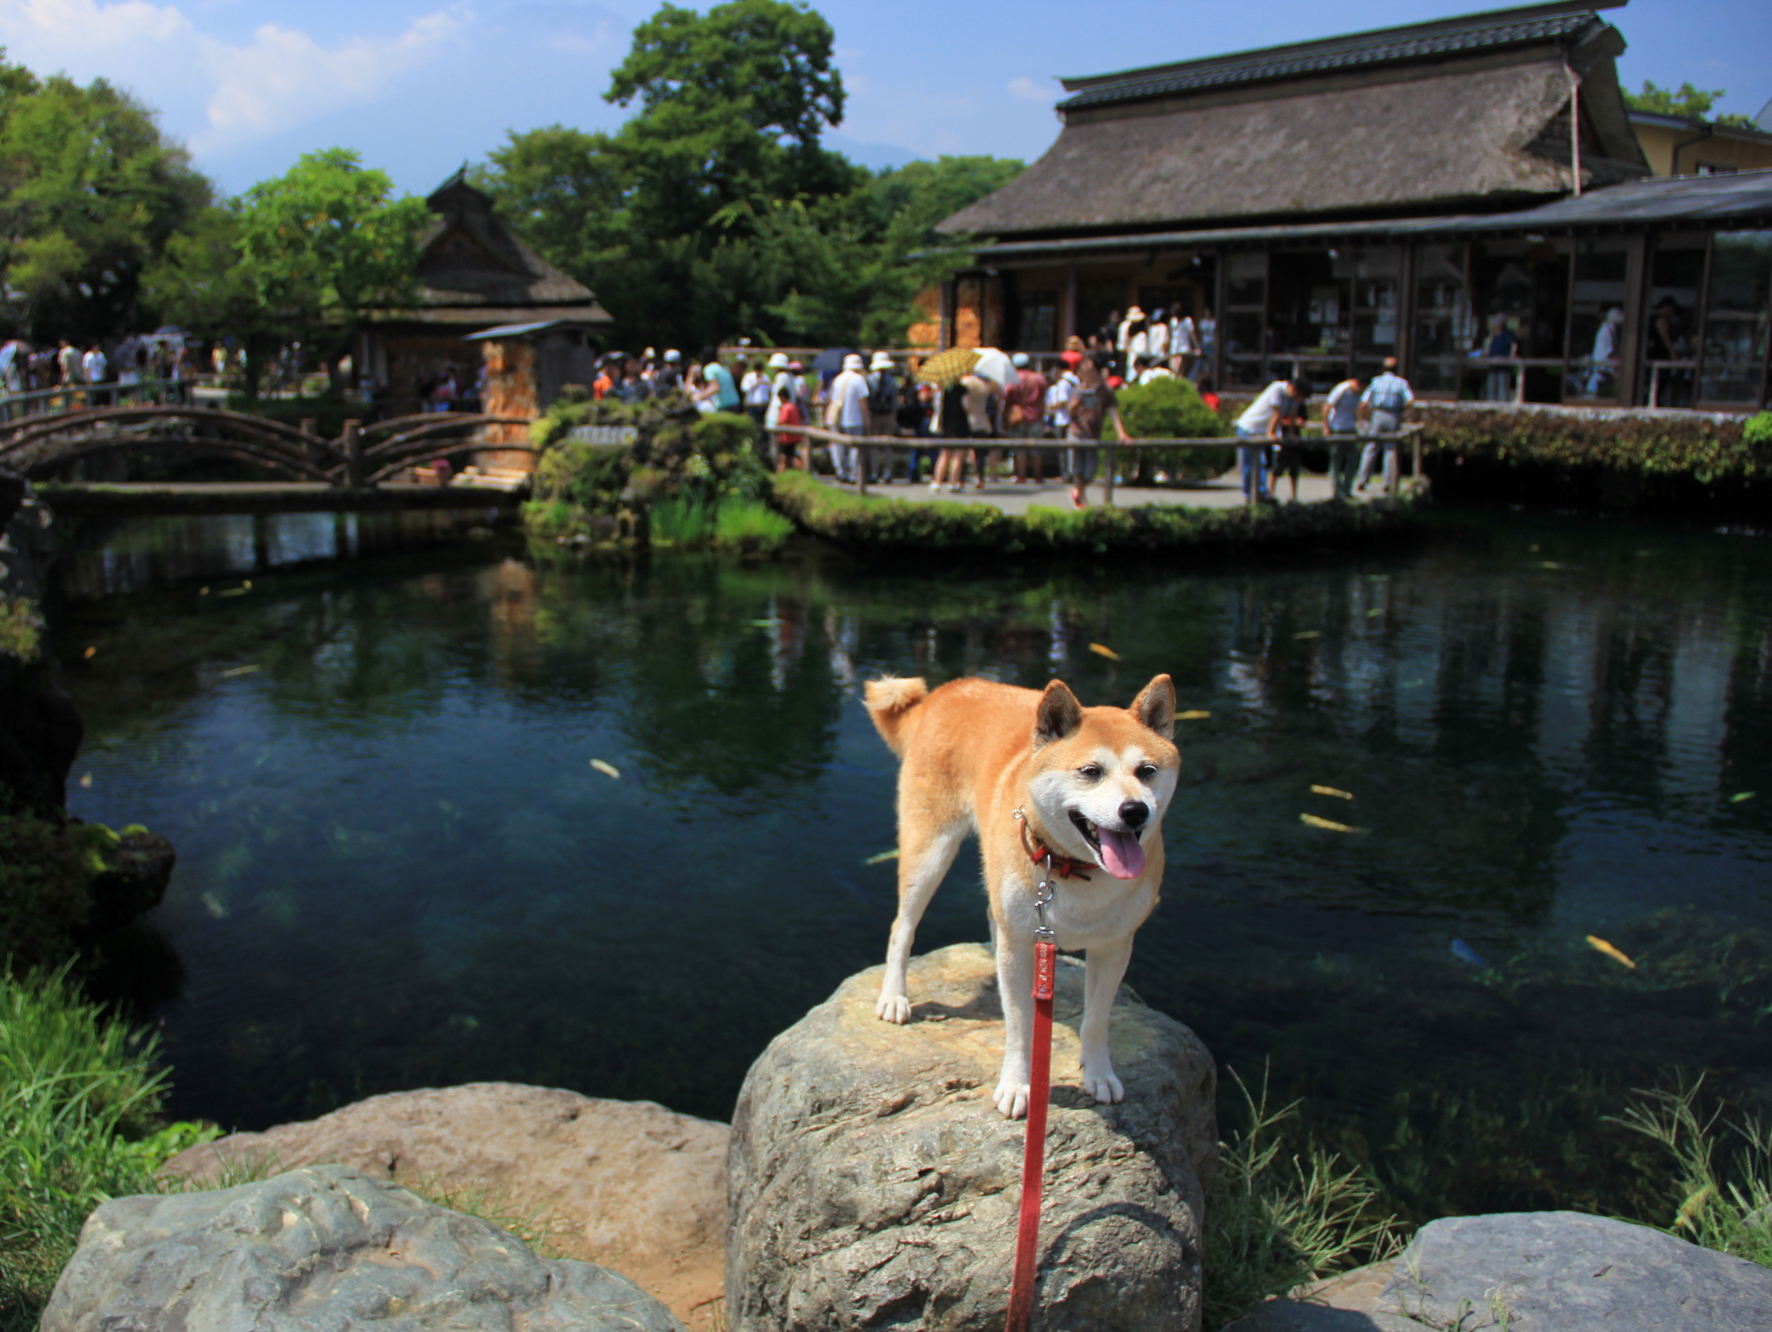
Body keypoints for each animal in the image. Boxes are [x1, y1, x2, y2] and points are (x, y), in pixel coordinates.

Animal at [861, 669, 1176, 1119]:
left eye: (1147, 770)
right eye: (1091, 771)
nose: (1135, 811)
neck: (1073, 869)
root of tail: (948, 690)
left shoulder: (1114, 947)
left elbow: (1097, 1020)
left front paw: (1099, 1073)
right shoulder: (1025, 945)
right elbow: (1020, 1025)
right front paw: (1016, 1085)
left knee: (992, 919)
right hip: (929, 853)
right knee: (902, 927)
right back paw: (894, 996)